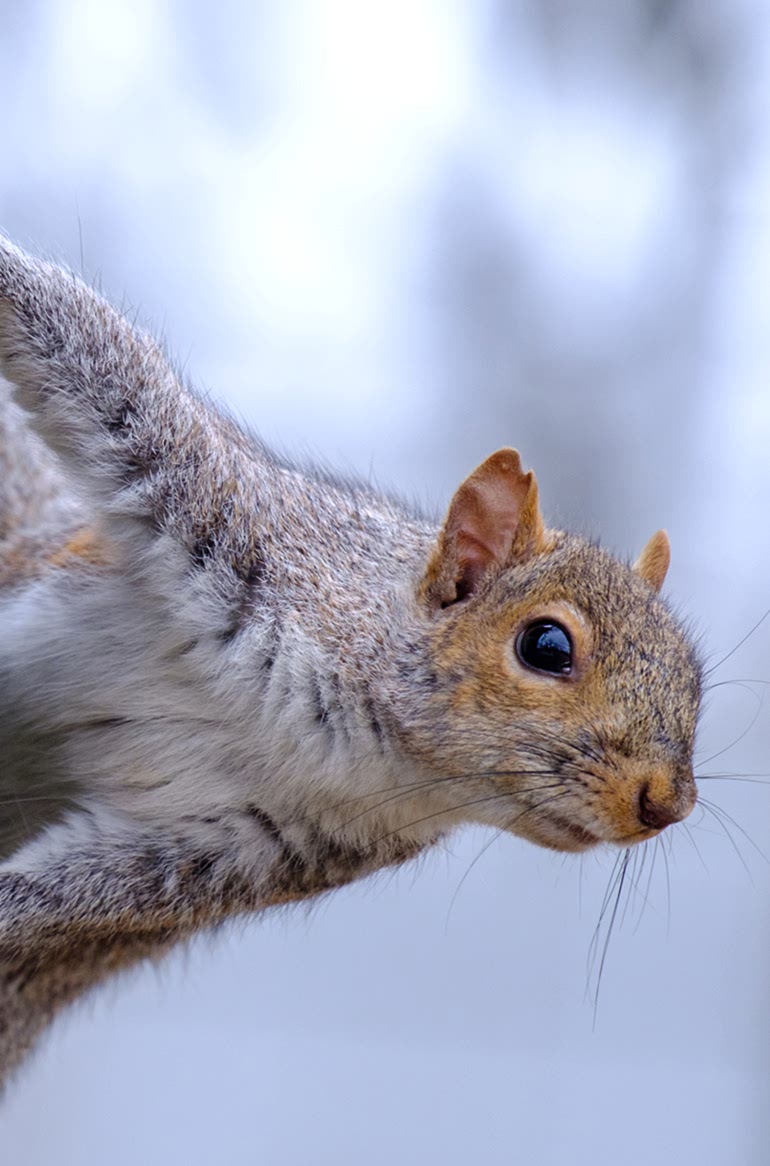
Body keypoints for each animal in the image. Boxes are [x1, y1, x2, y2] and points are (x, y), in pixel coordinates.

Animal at [0, 234, 700, 1082]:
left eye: (697, 681)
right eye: (547, 646)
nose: (666, 804)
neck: (363, 744)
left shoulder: (242, 851)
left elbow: (82, 897)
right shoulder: (234, 520)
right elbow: (92, 348)